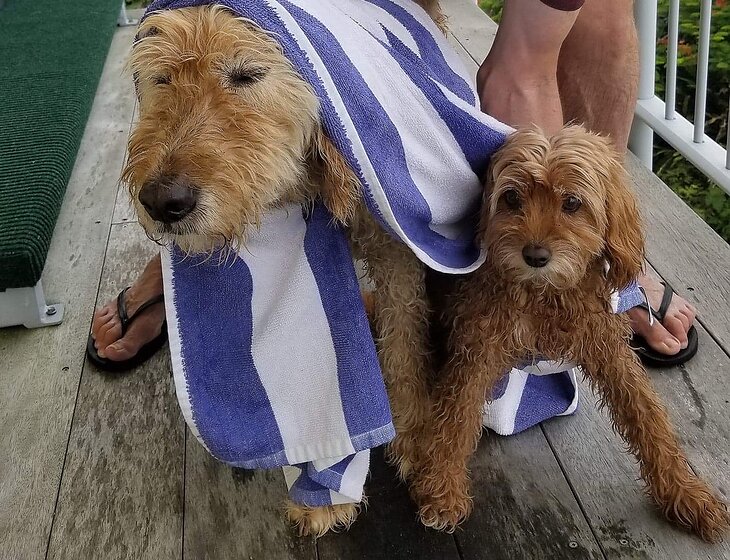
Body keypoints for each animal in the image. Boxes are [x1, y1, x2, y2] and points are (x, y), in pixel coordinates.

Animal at [123, 3, 444, 536]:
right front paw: (324, 493)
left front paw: (415, 439)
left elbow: (403, 341)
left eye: (247, 74)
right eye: (161, 78)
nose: (163, 202)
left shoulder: (397, 251)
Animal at [409, 126, 730, 542]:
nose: (535, 256)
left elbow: (648, 417)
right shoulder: (478, 349)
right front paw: (442, 489)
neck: (546, 296)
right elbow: (456, 418)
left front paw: (685, 492)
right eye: (511, 197)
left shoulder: (610, 349)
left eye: (573, 202)